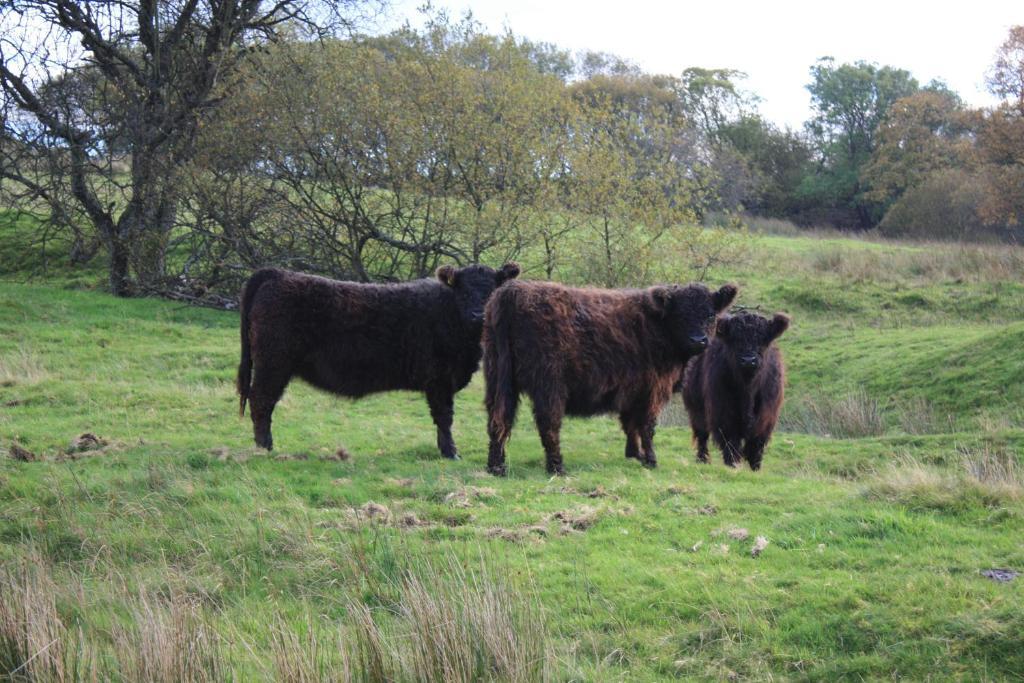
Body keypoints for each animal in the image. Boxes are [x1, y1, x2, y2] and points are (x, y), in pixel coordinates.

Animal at [234, 264, 516, 456]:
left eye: (492, 290)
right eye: (463, 291)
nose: (478, 315)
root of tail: (279, 274)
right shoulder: (439, 380)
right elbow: (445, 418)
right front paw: (450, 452)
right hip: (273, 363)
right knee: (261, 401)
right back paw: (265, 447)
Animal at [481, 278, 737, 475]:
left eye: (710, 314)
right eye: (681, 315)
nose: (699, 340)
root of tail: (512, 291)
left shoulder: (633, 389)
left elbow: (630, 423)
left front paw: (634, 454)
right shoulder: (653, 389)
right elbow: (647, 426)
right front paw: (651, 460)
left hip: (498, 379)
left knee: (498, 420)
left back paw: (496, 467)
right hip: (549, 385)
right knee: (548, 424)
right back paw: (557, 468)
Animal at [679, 309, 790, 471]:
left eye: (763, 340)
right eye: (736, 340)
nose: (748, 360)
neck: (747, 388)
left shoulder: (767, 416)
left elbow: (756, 444)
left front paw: (755, 468)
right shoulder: (724, 413)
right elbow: (731, 441)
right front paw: (732, 465)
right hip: (696, 408)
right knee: (702, 434)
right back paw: (702, 459)